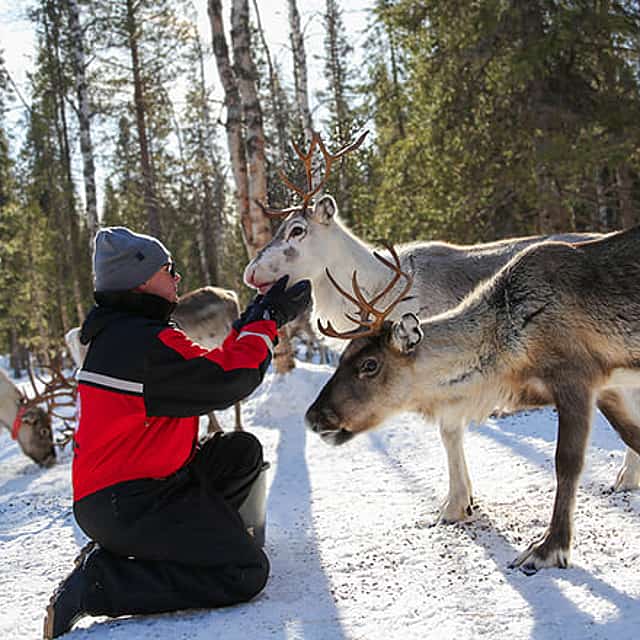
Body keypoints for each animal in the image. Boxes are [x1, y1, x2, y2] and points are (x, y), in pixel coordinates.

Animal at [305, 235, 640, 574]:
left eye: (370, 365)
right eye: (343, 357)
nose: (313, 416)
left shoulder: (575, 379)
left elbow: (567, 462)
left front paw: (549, 548)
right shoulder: (607, 387)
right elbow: (633, 435)